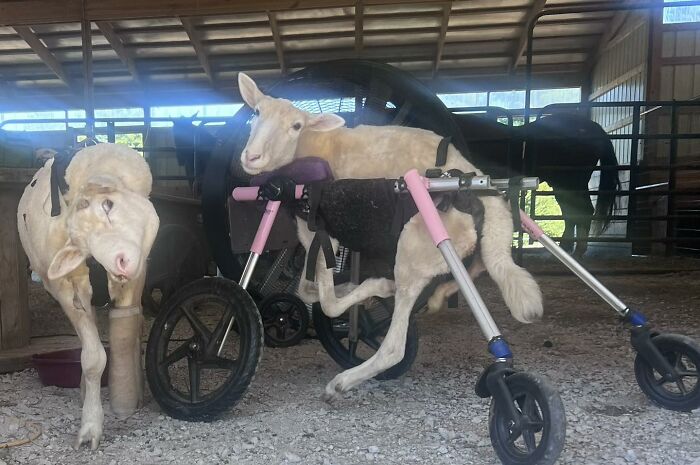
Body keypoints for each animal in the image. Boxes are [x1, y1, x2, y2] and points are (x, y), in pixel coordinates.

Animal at [17, 143, 159, 449]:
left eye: (108, 205)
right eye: (83, 245)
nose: (120, 262)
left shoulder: (139, 270)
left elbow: (126, 332)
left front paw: (126, 400)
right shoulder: (64, 287)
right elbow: (93, 358)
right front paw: (91, 426)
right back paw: (84, 391)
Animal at [237, 73, 543, 399]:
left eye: (296, 126)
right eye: (256, 112)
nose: (252, 157)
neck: (315, 144)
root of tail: (475, 182)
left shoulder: (322, 233)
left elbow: (327, 301)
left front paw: (369, 288)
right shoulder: (309, 235)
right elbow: (307, 290)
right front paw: (351, 288)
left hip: (415, 246)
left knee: (395, 345)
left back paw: (344, 379)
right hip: (466, 244)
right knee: (482, 264)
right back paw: (435, 296)